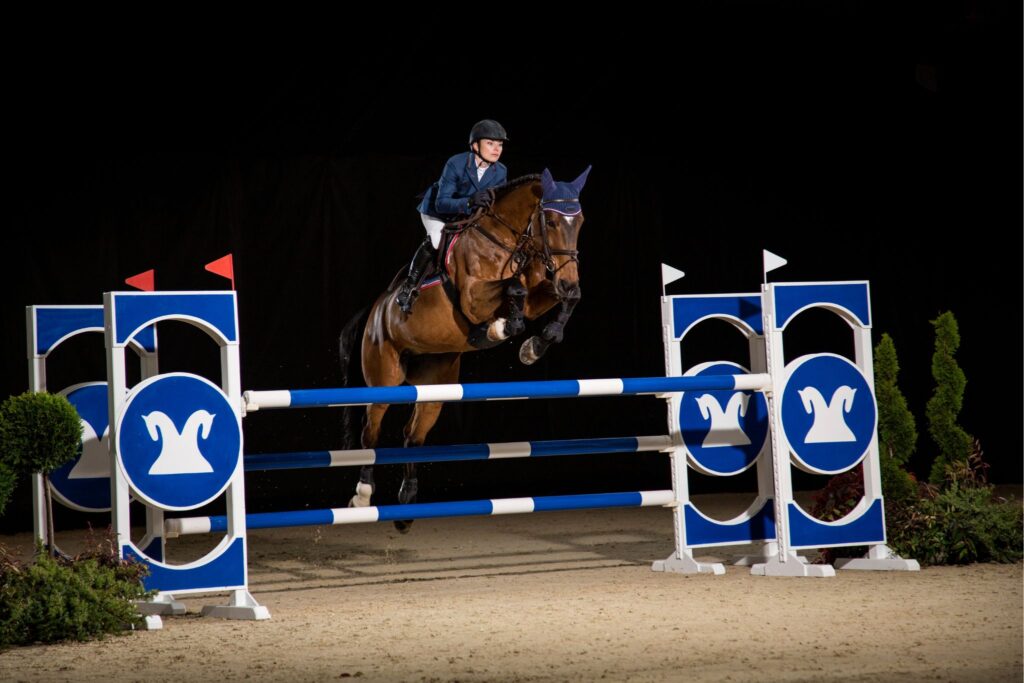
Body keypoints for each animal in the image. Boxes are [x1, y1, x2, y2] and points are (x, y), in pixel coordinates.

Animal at [337, 167, 589, 532]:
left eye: (580, 222)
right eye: (553, 222)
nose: (568, 279)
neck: (506, 238)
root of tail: (374, 310)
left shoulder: (538, 294)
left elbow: (552, 297)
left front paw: (535, 344)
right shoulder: (473, 298)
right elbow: (513, 289)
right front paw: (501, 329)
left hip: (434, 386)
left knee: (412, 437)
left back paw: (406, 508)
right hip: (383, 376)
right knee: (370, 433)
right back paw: (362, 496)